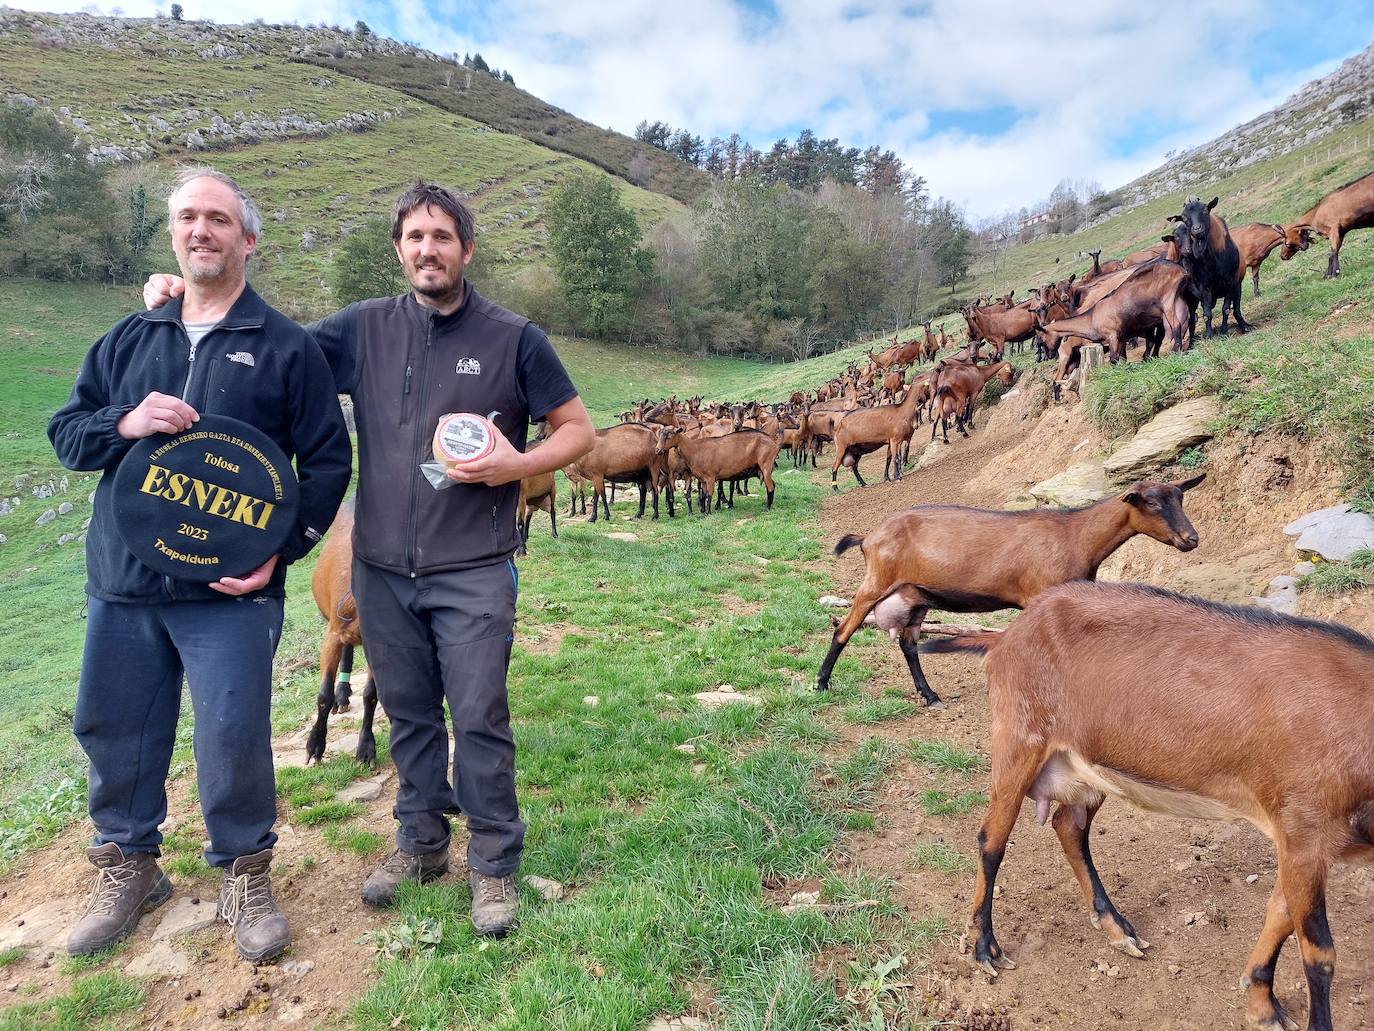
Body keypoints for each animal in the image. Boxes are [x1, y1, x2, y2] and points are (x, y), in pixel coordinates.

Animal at [306, 508, 379, 769]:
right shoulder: (333, 634)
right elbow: (323, 696)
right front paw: (315, 745)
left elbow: (371, 694)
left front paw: (366, 748)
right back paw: (342, 693)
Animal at [813, 478, 1203, 709]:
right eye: (1151, 502)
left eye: (1180, 497)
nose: (1191, 539)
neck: (1074, 536)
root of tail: (868, 537)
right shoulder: (1039, 596)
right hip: (876, 582)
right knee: (843, 629)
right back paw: (821, 684)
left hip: (916, 595)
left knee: (909, 644)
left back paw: (931, 695)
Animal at [939, 582, 1374, 1031]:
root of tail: (1006, 637)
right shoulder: (1307, 829)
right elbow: (1319, 952)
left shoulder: (1301, 840)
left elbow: (1281, 913)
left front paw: (1261, 1002)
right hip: (1018, 740)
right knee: (991, 839)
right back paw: (984, 947)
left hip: (1087, 767)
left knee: (1068, 824)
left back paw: (1116, 928)